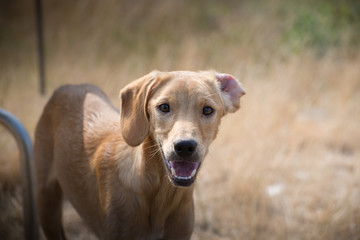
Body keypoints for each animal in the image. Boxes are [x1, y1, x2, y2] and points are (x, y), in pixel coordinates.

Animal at [33, 70, 246, 239]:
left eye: (208, 109)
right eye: (164, 107)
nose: (185, 147)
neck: (160, 194)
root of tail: (69, 86)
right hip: (47, 205)